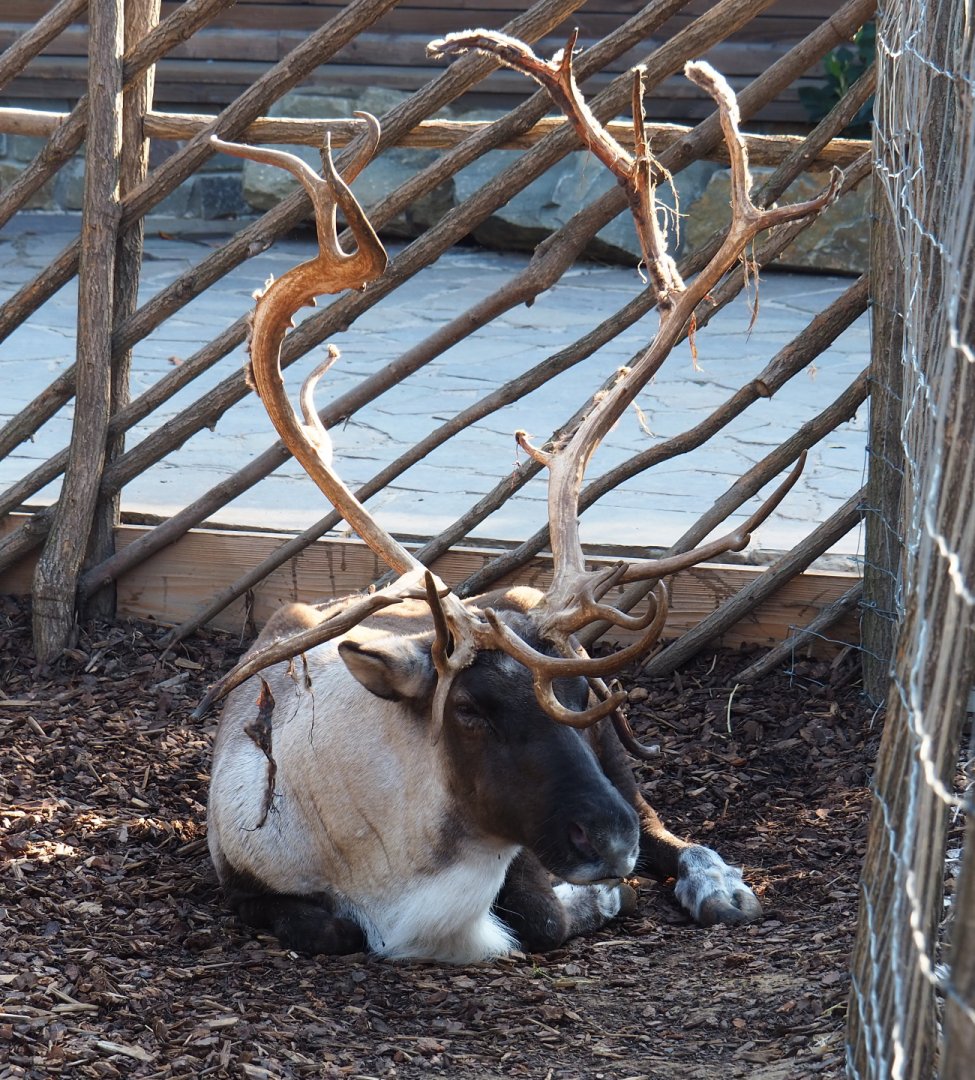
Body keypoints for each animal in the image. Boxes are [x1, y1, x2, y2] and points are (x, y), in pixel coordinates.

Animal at [202, 37, 839, 964]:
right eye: (469, 708)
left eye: (573, 703)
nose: (605, 844)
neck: (398, 886)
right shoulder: (248, 878)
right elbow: (324, 925)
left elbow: (543, 911)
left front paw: (605, 897)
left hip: (626, 765)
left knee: (672, 828)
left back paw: (715, 885)